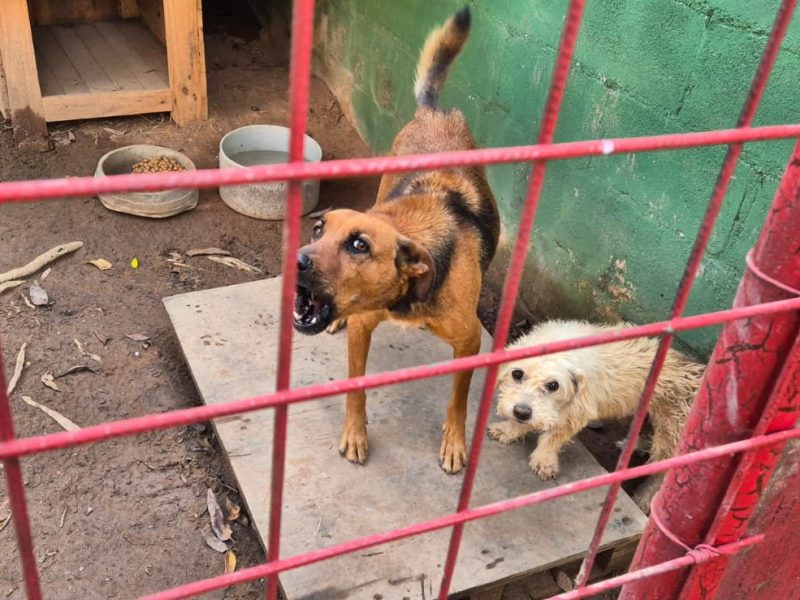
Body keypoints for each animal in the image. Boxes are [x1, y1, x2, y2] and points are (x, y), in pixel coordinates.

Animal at [290, 5, 496, 474]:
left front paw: (454, 442)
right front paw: (355, 434)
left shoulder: (470, 341)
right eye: (318, 228)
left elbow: (458, 401)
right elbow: (356, 385)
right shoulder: (364, 326)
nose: (298, 260)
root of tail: (434, 112)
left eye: (359, 245)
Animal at [488, 322, 708, 508]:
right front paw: (509, 430)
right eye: (517, 374)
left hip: (669, 435)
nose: (521, 412)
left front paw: (544, 459)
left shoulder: (577, 412)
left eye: (553, 385)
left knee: (661, 472)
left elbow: (553, 438)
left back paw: (645, 498)